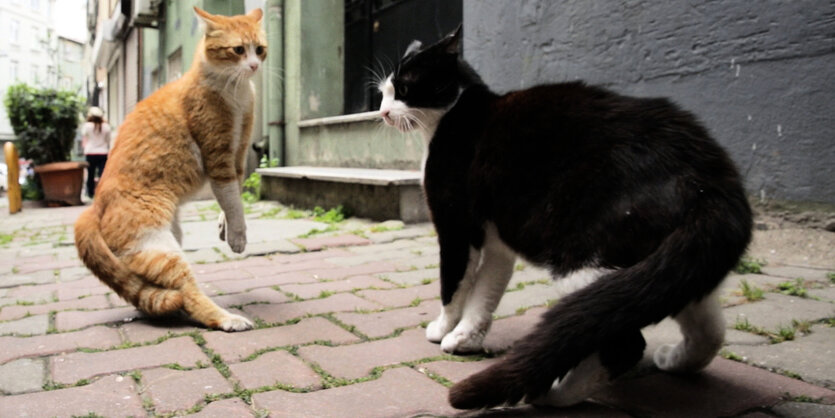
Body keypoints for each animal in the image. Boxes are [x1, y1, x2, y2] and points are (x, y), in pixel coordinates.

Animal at [75, 6, 266, 332]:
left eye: (260, 49)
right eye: (239, 50)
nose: (253, 65)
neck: (238, 93)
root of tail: (93, 208)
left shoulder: (239, 156)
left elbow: (234, 200)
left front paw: (223, 225)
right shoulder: (219, 159)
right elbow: (232, 200)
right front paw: (237, 236)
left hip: (167, 240)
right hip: (159, 248)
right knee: (188, 293)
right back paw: (227, 319)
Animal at [378, 27, 752, 412]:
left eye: (403, 88)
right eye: (384, 92)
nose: (383, 112)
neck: (452, 115)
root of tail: (709, 182)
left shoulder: (456, 225)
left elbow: (453, 286)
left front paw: (442, 329)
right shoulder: (498, 243)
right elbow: (485, 292)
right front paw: (466, 337)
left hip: (585, 259)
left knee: (623, 345)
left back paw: (554, 394)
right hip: (675, 264)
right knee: (707, 325)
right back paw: (676, 361)